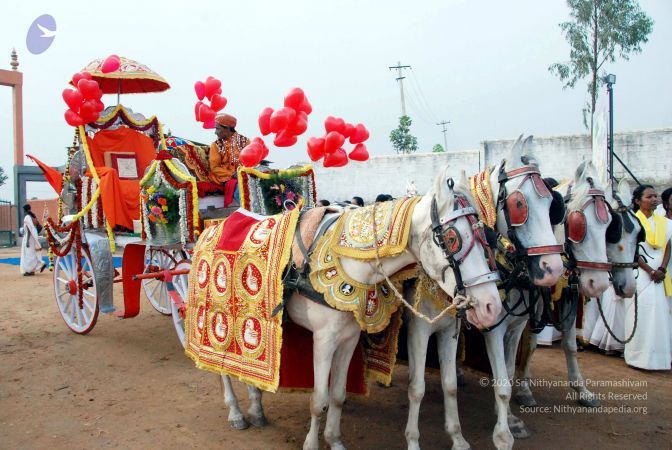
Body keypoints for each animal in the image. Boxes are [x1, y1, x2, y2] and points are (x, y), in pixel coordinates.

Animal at [211, 166, 504, 450]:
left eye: (486, 235)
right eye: (452, 239)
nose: (492, 306)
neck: (348, 262)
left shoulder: (351, 337)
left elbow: (338, 395)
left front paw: (335, 440)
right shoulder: (325, 339)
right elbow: (319, 399)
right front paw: (312, 444)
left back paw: (256, 408)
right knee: (223, 366)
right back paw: (236, 413)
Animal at [404, 136, 568, 450]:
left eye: (553, 205)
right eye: (519, 205)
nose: (553, 269)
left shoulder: (512, 327)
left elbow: (505, 374)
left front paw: (509, 421)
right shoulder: (474, 327)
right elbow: (499, 383)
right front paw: (502, 435)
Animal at [516, 177, 640, 412]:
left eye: (639, 233)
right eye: (578, 226)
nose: (628, 287)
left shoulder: (569, 294)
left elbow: (570, 345)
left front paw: (582, 390)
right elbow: (531, 343)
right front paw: (524, 388)